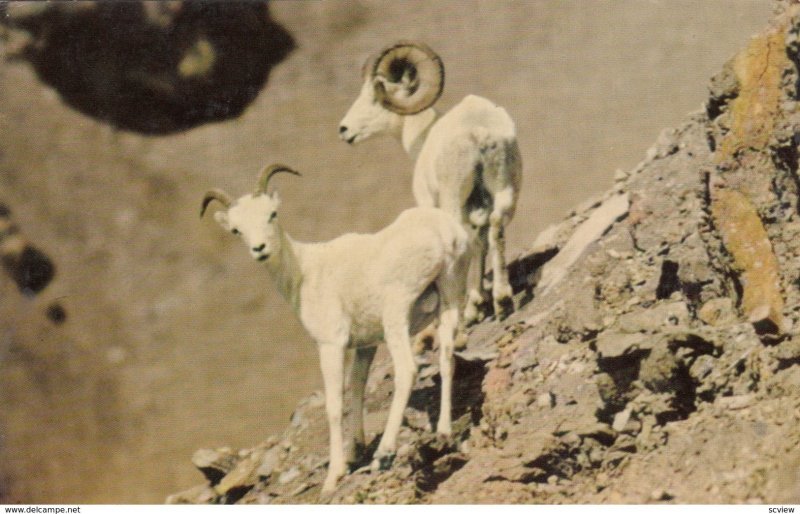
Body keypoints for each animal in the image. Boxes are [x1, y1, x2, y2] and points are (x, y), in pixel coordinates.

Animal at [200, 164, 472, 492]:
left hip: (396, 316)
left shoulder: (331, 345)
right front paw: (355, 451)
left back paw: (384, 453)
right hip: (450, 298)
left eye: (272, 214)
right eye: (236, 230)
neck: (304, 272)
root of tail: (443, 235)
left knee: (407, 370)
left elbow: (334, 404)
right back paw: (444, 431)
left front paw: (334, 475)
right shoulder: (366, 345)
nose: (260, 249)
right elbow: (357, 388)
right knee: (446, 358)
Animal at [340, 40, 520, 322]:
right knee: (496, 229)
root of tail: (479, 134)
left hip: (453, 202)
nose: (344, 130)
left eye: (375, 97)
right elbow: (481, 243)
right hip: (505, 191)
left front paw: (474, 308)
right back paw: (502, 302)